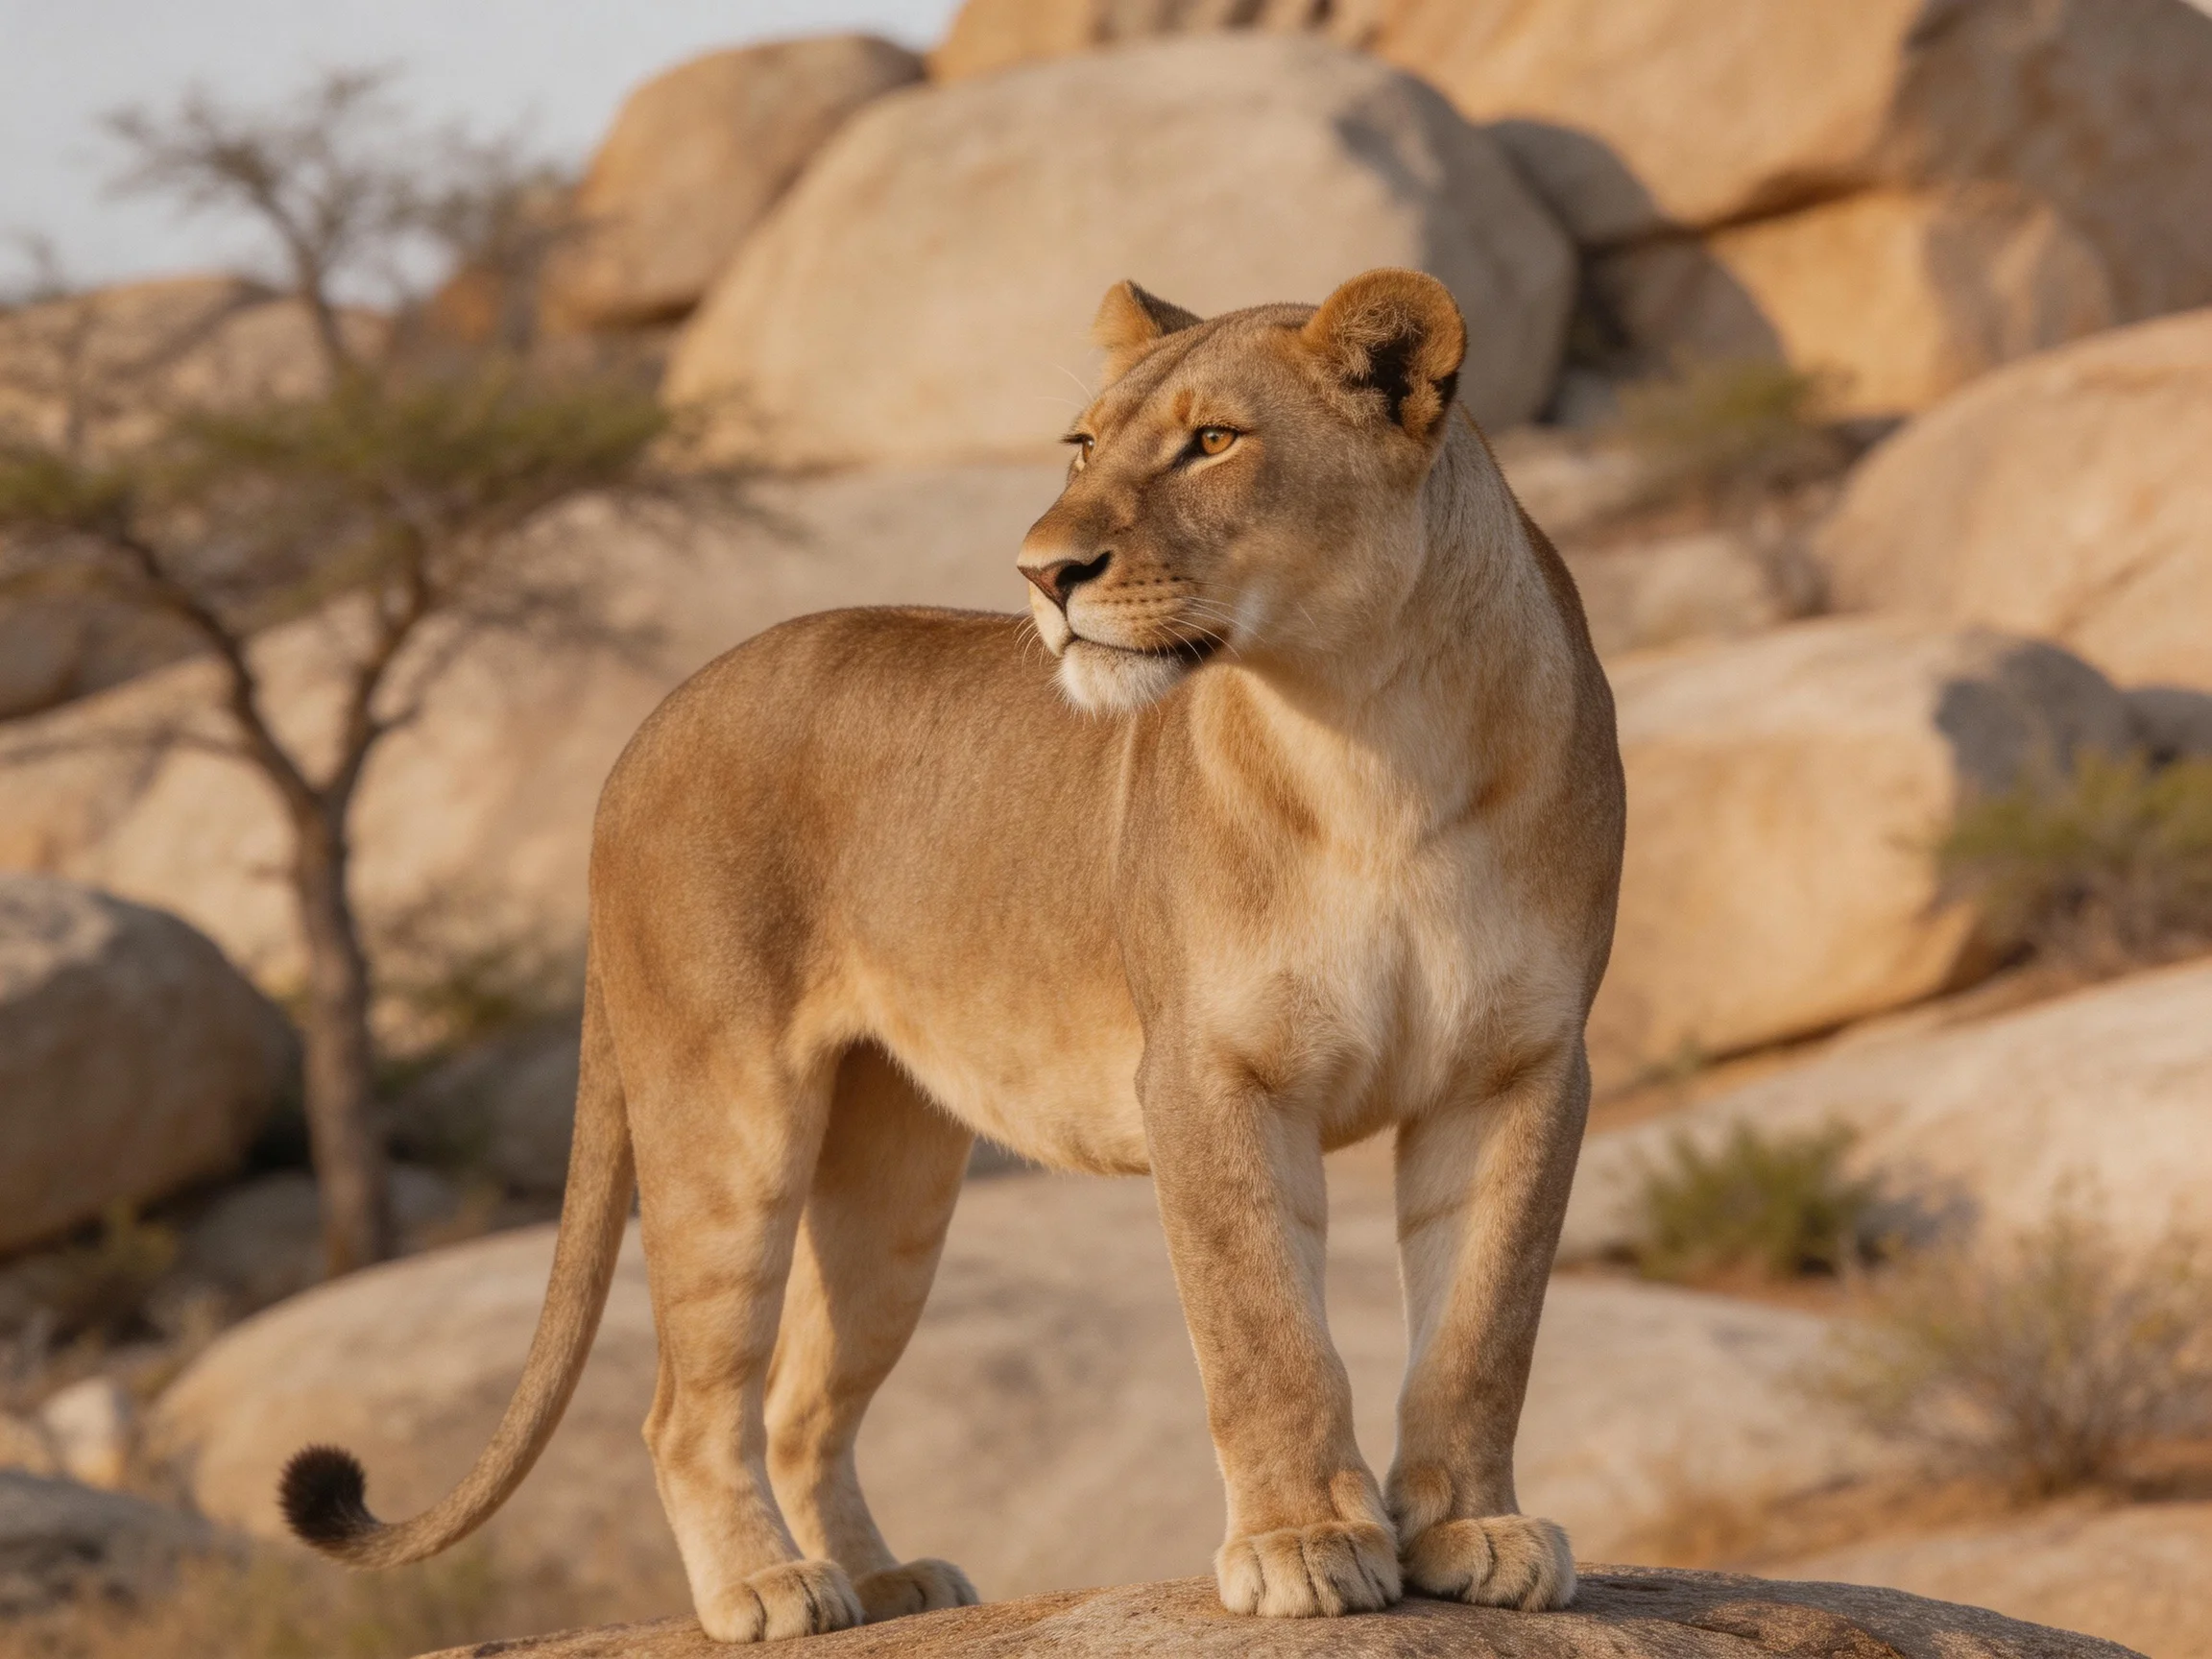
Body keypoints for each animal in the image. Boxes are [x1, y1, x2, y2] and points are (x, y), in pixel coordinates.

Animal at [278, 268, 1626, 1641]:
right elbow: (1263, 1327)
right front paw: (1302, 1542)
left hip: (895, 1179)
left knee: (800, 1399)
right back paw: (767, 1588)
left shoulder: (1516, 1069)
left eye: (1214, 441)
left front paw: (1471, 1532)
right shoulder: (1206, 1075)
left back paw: (883, 1580)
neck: (1374, 734)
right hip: (726, 1114)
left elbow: (1481, 1326)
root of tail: (645, 729)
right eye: (1083, 444)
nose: (1045, 573)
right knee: (687, 1406)